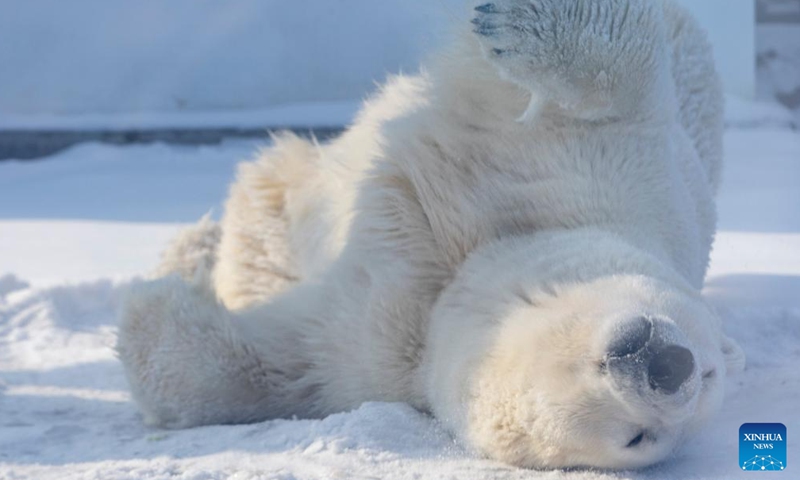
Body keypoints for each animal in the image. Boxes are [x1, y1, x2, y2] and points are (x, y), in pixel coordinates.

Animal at [117, 0, 744, 470]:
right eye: (707, 366)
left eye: (639, 439)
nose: (670, 367)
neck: (467, 278)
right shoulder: (613, 183)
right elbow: (616, 94)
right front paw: (510, 22)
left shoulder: (363, 360)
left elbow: (263, 369)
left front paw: (154, 302)